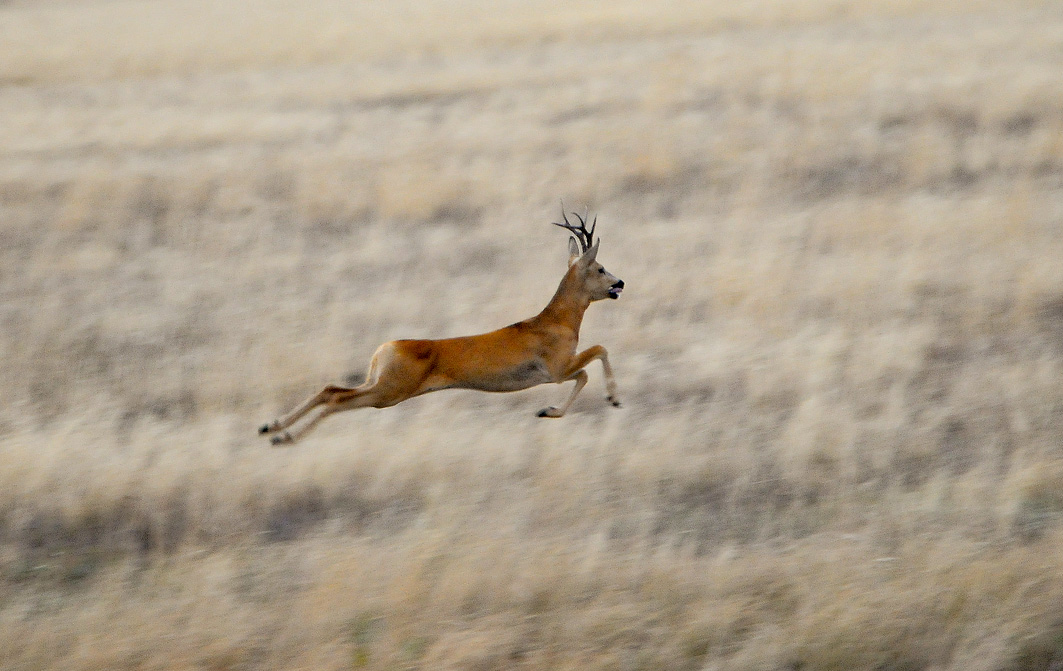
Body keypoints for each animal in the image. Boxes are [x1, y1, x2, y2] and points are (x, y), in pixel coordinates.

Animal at [259, 210, 620, 446]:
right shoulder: (557, 369)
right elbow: (597, 354)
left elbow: (588, 368)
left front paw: (549, 410)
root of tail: (385, 348)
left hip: (378, 386)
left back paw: (271, 428)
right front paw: (610, 399)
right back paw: (284, 437)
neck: (555, 320)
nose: (620, 284)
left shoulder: (558, 372)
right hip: (387, 393)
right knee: (335, 400)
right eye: (601, 268)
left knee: (330, 389)